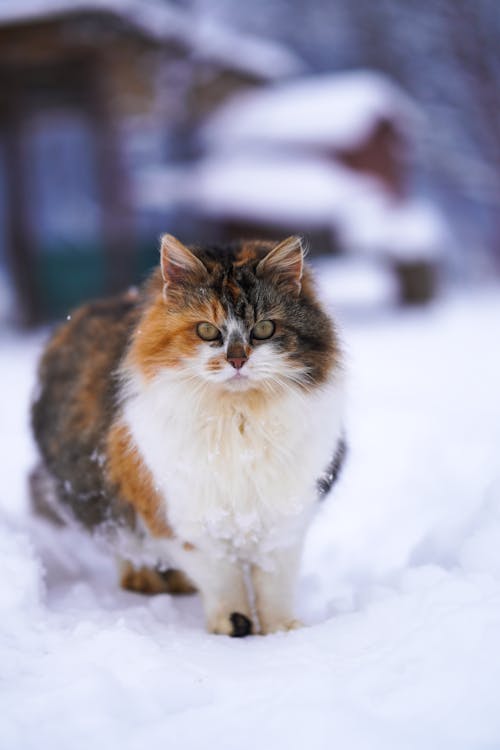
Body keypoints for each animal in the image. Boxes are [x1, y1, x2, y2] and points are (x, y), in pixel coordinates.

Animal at [30, 234, 344, 636]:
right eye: (207, 331)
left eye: (264, 329)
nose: (237, 359)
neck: (238, 420)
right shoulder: (182, 516)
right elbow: (221, 579)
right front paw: (234, 625)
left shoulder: (285, 513)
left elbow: (275, 583)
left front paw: (282, 630)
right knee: (126, 546)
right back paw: (145, 580)